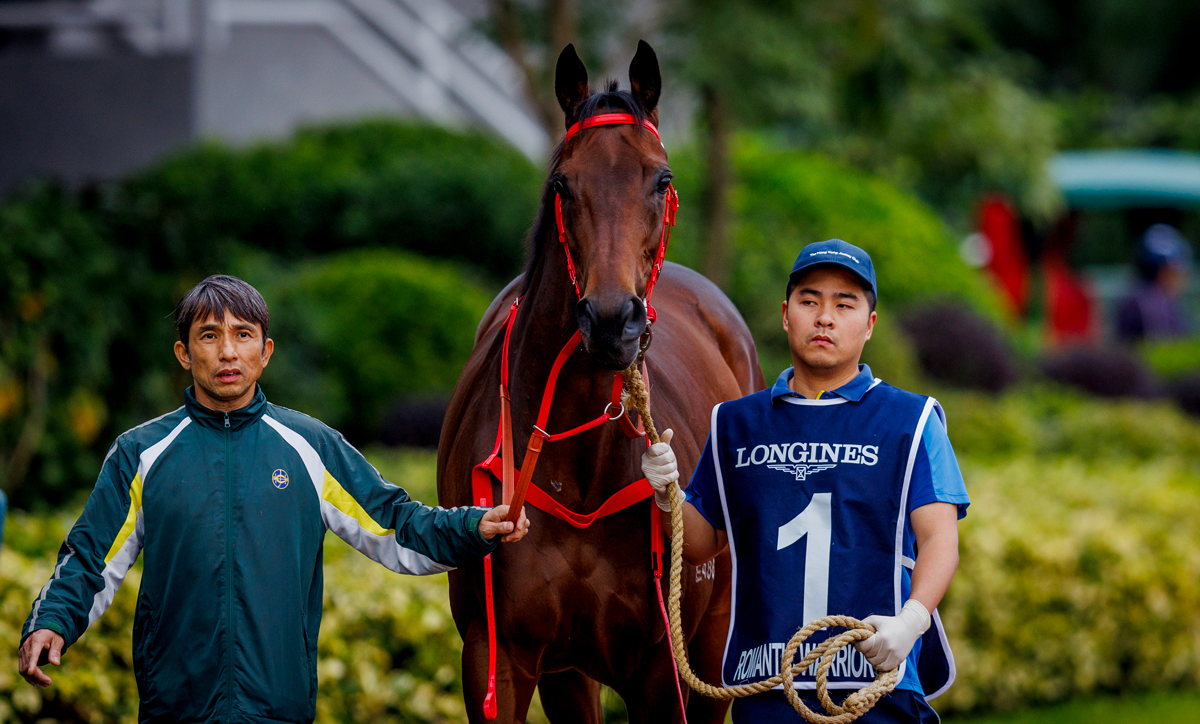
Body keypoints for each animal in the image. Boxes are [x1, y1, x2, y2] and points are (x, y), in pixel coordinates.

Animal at [436, 41, 763, 724]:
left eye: (661, 179)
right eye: (563, 183)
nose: (613, 320)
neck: (583, 467)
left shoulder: (662, 672)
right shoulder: (497, 657)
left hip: (711, 645)